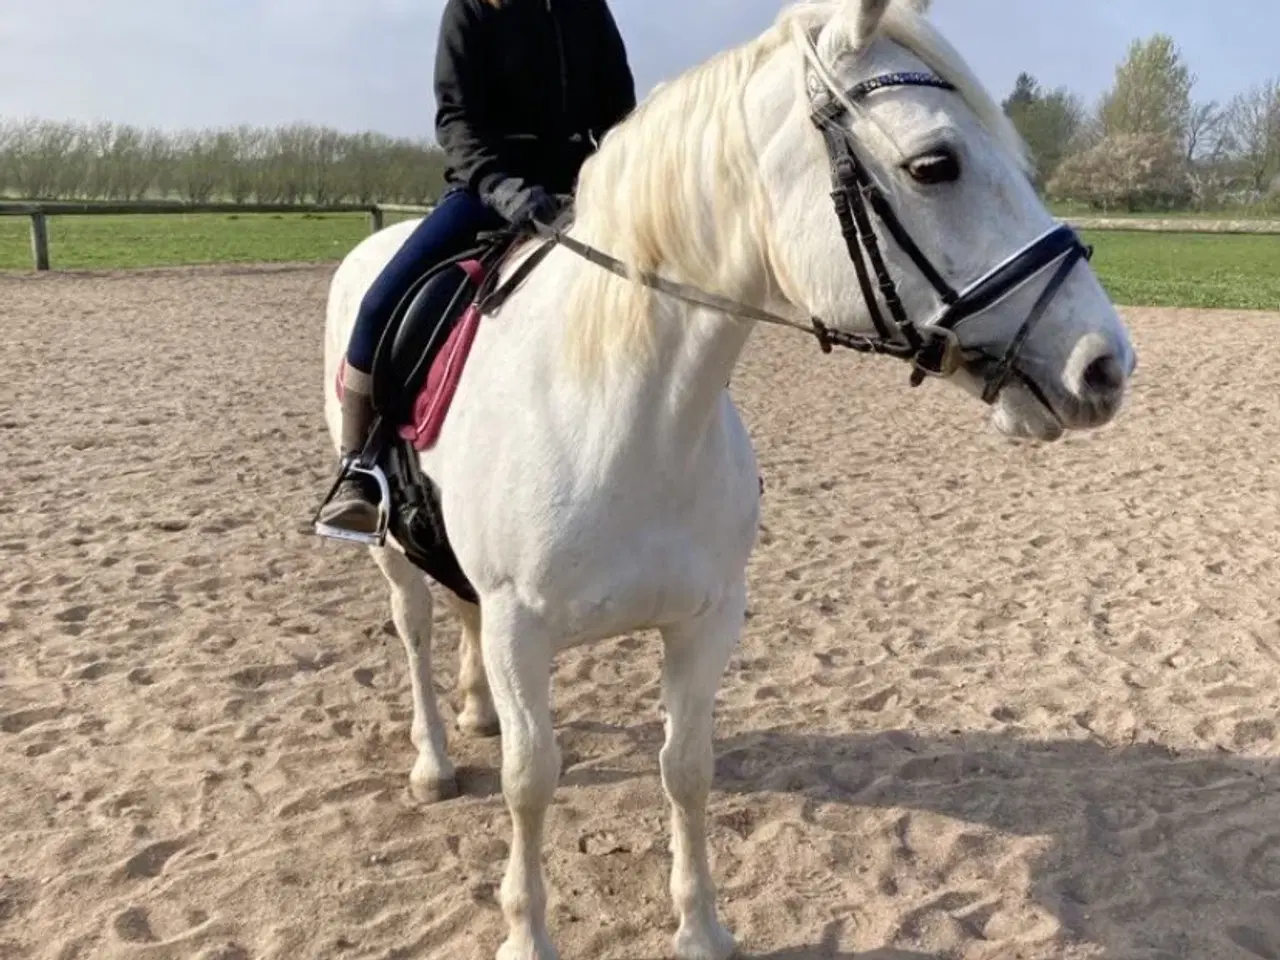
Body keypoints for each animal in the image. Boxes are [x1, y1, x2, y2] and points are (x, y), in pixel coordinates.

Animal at [318, 0, 1137, 956]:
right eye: (935, 164)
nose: (1105, 364)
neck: (628, 418)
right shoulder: (523, 628)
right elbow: (531, 780)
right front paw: (526, 935)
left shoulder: (705, 620)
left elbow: (687, 770)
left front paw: (702, 928)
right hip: (390, 551)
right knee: (415, 631)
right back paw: (435, 761)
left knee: (459, 615)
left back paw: (477, 711)